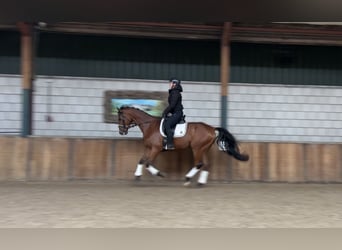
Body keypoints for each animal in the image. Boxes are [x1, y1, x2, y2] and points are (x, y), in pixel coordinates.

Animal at [117, 105, 248, 186]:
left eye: (120, 118)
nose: (121, 132)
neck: (149, 125)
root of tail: (212, 129)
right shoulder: (149, 148)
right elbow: (141, 160)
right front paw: (137, 177)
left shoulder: (155, 149)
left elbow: (148, 163)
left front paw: (160, 174)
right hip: (203, 149)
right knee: (206, 164)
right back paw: (200, 183)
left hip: (197, 148)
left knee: (199, 164)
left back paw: (188, 179)